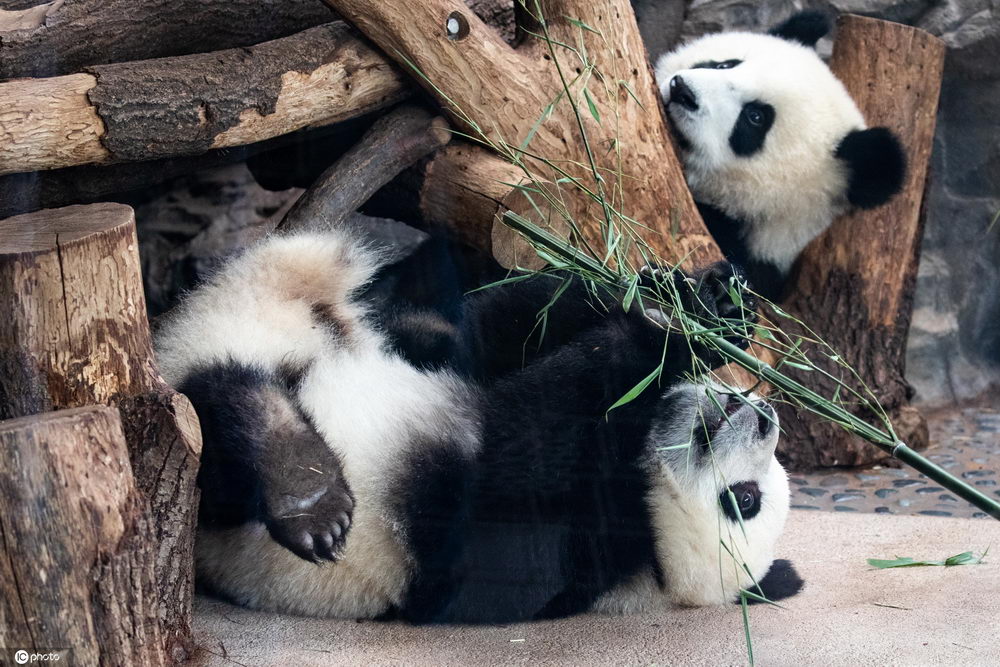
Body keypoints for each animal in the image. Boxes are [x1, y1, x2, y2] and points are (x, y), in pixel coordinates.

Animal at [156, 227, 800, 624]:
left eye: (743, 501)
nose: (760, 416)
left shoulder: (558, 551)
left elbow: (509, 452)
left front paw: (662, 332)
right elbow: (513, 332)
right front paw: (702, 308)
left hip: (226, 499)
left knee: (227, 416)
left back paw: (303, 491)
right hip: (369, 340)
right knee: (462, 325)